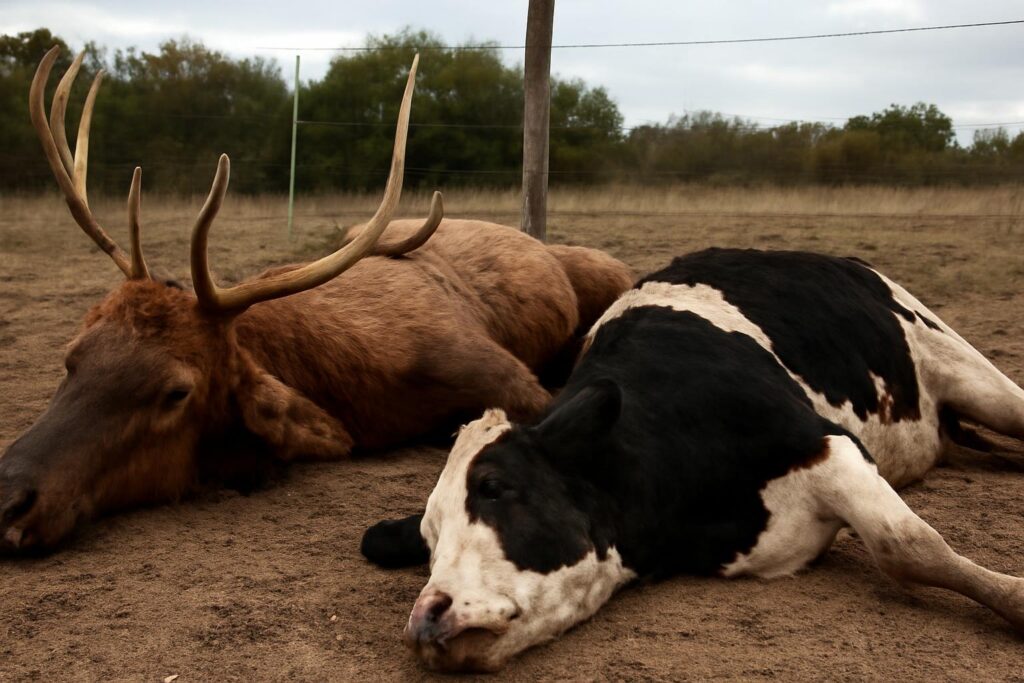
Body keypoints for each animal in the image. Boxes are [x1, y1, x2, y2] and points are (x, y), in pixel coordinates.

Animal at [0, 47, 632, 553]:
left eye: (176, 391)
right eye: (71, 357)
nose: (9, 498)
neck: (348, 387)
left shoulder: (509, 379)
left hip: (610, 272)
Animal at [362, 248, 1024, 672]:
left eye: (495, 486)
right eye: (427, 540)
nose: (427, 618)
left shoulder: (829, 444)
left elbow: (908, 546)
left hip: (970, 371)